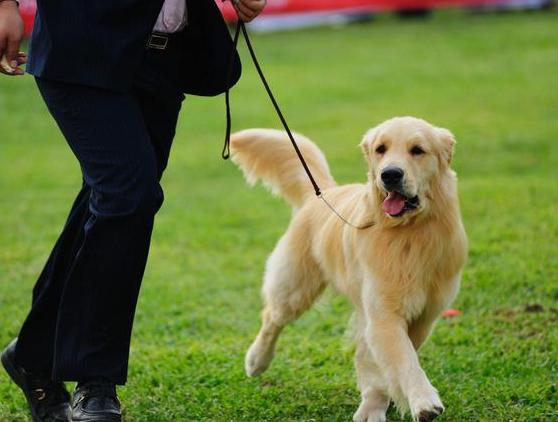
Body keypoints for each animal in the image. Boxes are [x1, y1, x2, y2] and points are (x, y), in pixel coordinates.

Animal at [230, 116, 470, 422]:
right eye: (381, 149)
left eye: (418, 150)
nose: (390, 174)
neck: (409, 233)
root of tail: (322, 194)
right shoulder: (383, 315)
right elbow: (405, 361)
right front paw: (423, 400)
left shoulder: (423, 317)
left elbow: (392, 362)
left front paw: (380, 403)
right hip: (295, 286)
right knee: (272, 318)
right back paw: (256, 360)